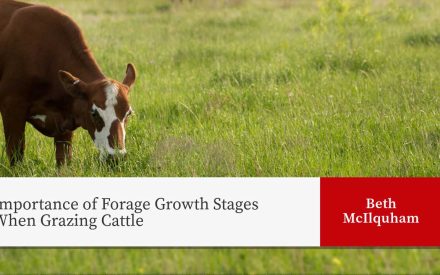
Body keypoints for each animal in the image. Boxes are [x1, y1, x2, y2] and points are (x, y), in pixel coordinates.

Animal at [0, 0, 138, 166]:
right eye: (94, 113)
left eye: (128, 113)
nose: (116, 157)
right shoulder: (12, 108)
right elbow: (16, 157)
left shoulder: (65, 123)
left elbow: (64, 160)